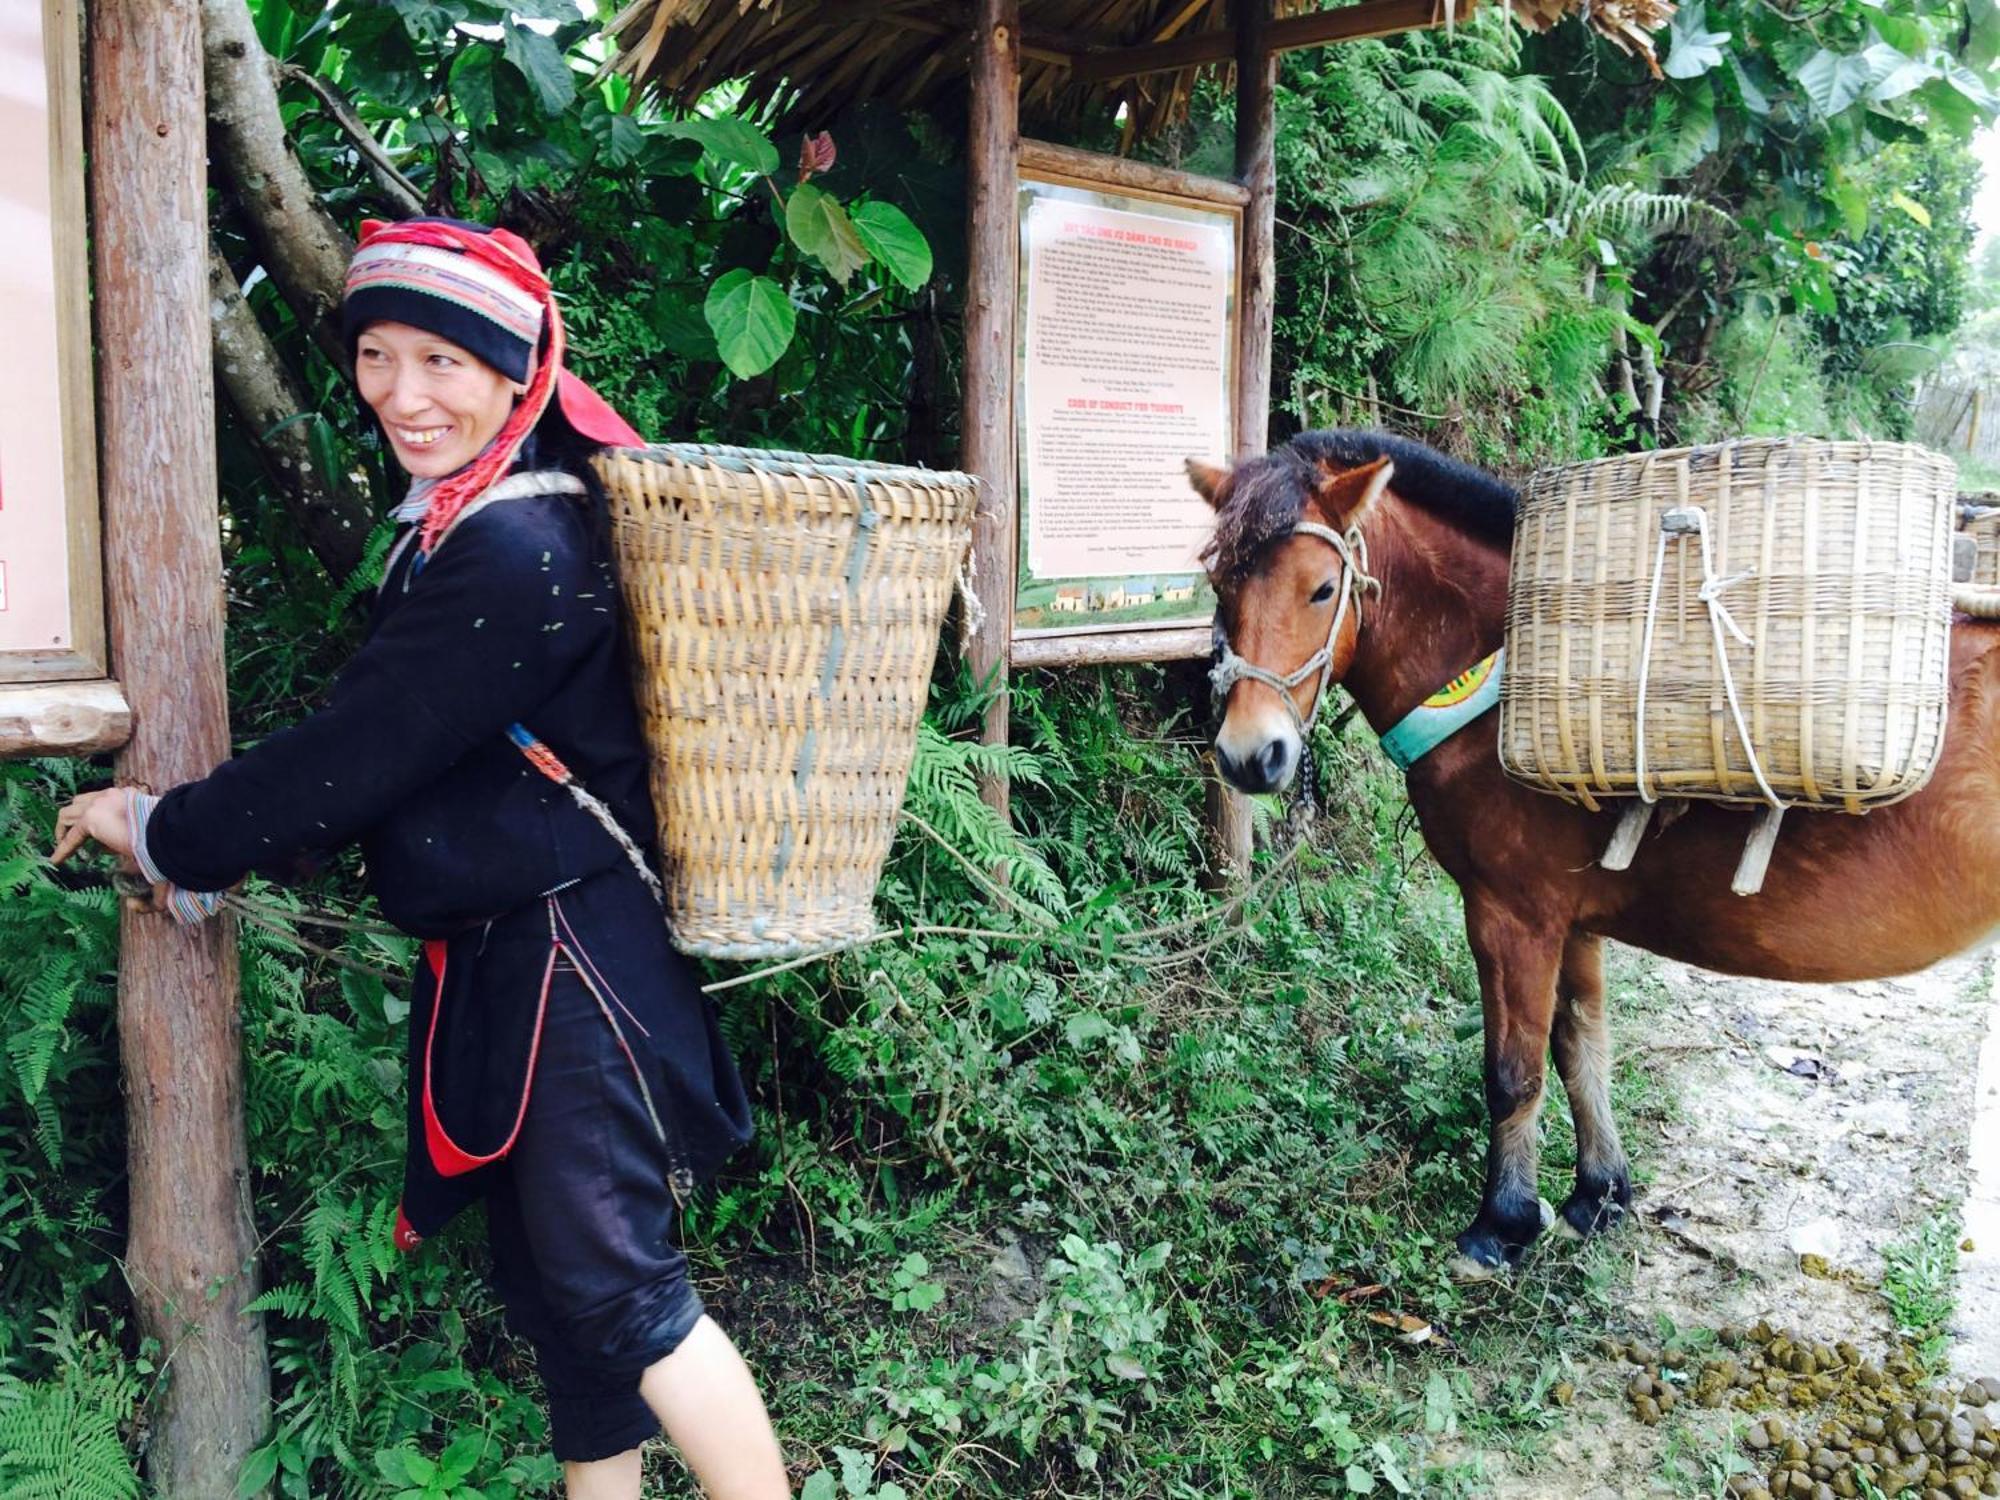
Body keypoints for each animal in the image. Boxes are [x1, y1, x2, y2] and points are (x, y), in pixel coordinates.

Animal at [1184, 428, 2000, 1272]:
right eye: (1218, 583)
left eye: (1320, 590)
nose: (1251, 755)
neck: (1496, 673)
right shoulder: (1570, 921)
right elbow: (1582, 1045)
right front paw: (1598, 1194)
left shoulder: (1512, 917)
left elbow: (1512, 1072)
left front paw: (1502, 1223)